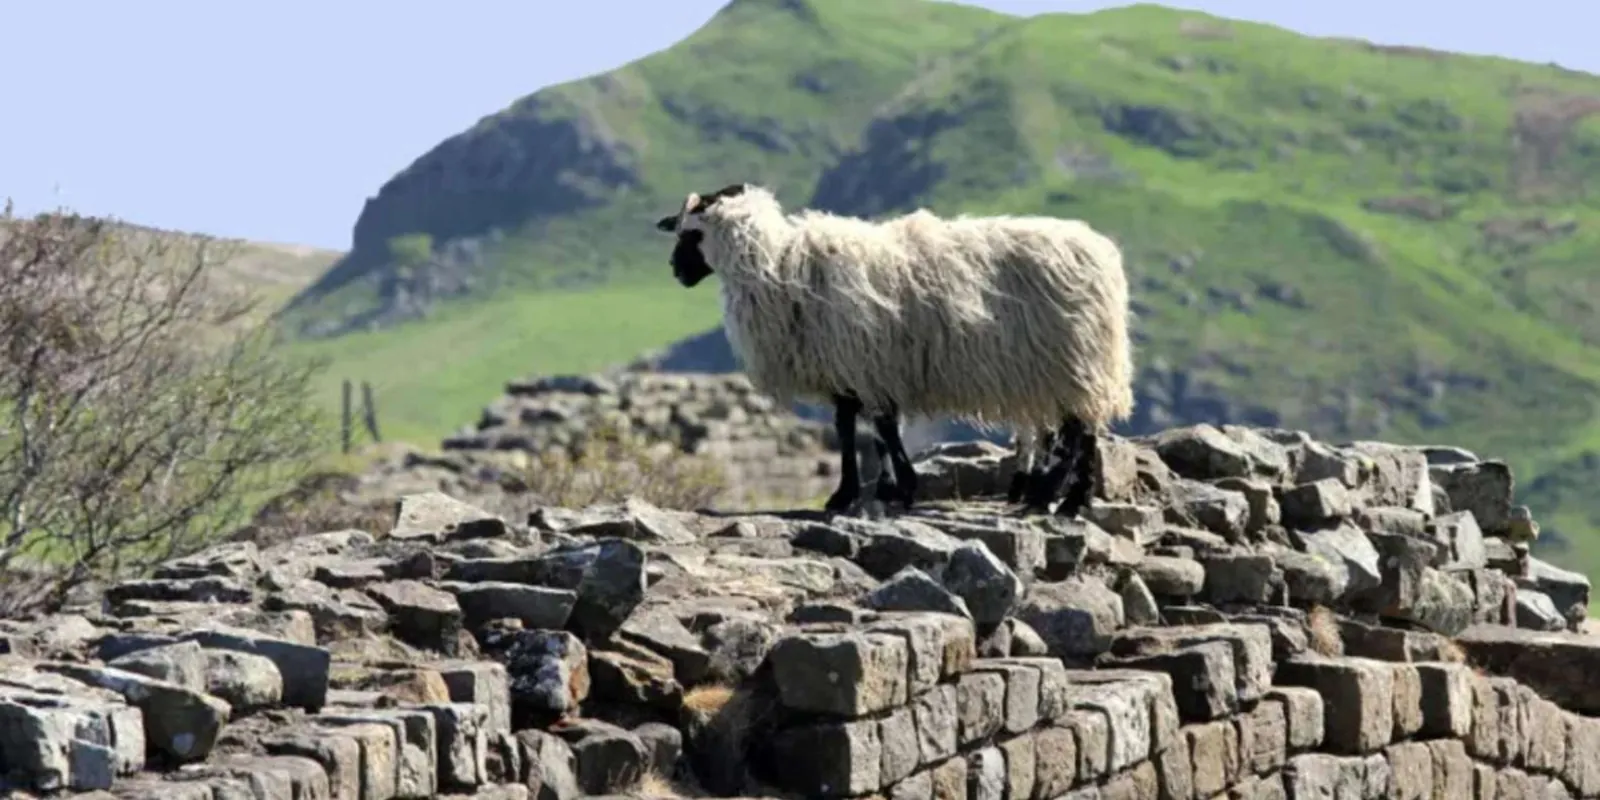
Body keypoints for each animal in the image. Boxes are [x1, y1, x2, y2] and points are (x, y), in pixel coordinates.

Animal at [654, 183, 1133, 516]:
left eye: (692, 233)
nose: (675, 272)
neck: (779, 267)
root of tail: (1103, 253)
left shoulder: (867, 360)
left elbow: (880, 428)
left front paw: (900, 488)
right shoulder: (853, 368)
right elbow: (856, 428)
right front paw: (857, 492)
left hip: (1073, 358)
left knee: (1080, 431)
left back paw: (1059, 499)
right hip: (1070, 364)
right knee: (1081, 428)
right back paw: (1063, 499)